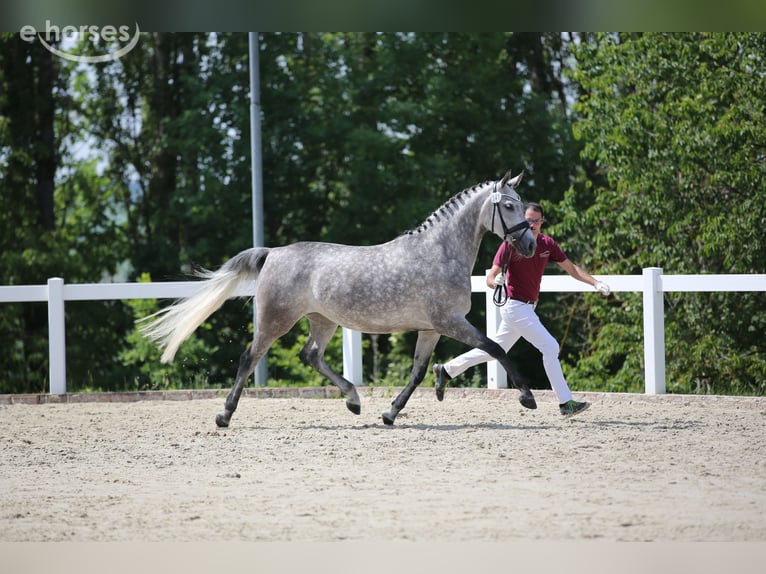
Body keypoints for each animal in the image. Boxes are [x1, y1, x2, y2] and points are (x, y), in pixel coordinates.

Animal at [139, 170, 538, 427]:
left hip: (323, 320)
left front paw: (389, 414)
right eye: (509, 206)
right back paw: (224, 415)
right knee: (250, 357)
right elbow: (495, 348)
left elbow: (419, 371)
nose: (531, 245)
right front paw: (527, 397)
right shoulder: (450, 322)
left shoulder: (431, 328)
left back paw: (354, 400)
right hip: (276, 320)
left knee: (310, 355)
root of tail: (272, 253)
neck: (439, 253)